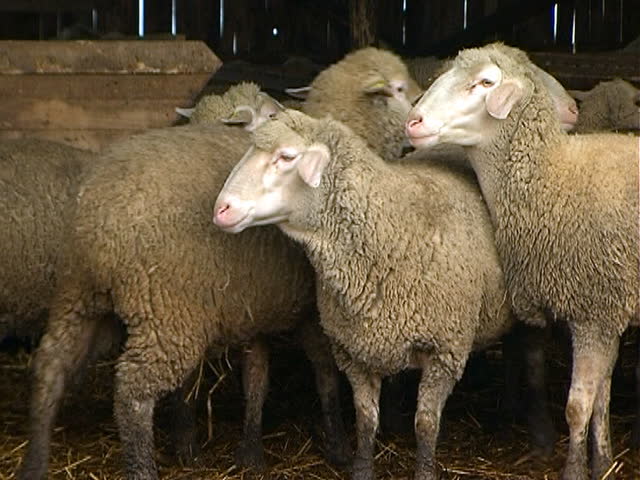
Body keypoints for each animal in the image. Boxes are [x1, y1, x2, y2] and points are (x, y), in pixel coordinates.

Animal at [18, 123, 349, 480]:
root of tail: (98, 215)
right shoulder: (315, 313)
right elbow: (325, 371)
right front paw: (337, 444)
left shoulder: (254, 310)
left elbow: (256, 376)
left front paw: (250, 453)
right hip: (164, 311)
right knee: (132, 393)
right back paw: (143, 468)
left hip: (80, 295)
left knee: (51, 366)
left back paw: (34, 464)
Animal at [213, 109, 538, 480]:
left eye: (286, 157)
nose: (221, 209)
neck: (389, 229)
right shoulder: (355, 352)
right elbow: (366, 422)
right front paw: (362, 468)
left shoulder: (445, 351)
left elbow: (426, 425)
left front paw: (424, 471)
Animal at [406, 42, 639, 480]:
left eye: (485, 82)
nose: (414, 122)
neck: (553, 177)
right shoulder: (607, 311)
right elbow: (602, 396)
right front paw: (603, 461)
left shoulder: (594, 311)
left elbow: (578, 405)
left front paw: (574, 470)